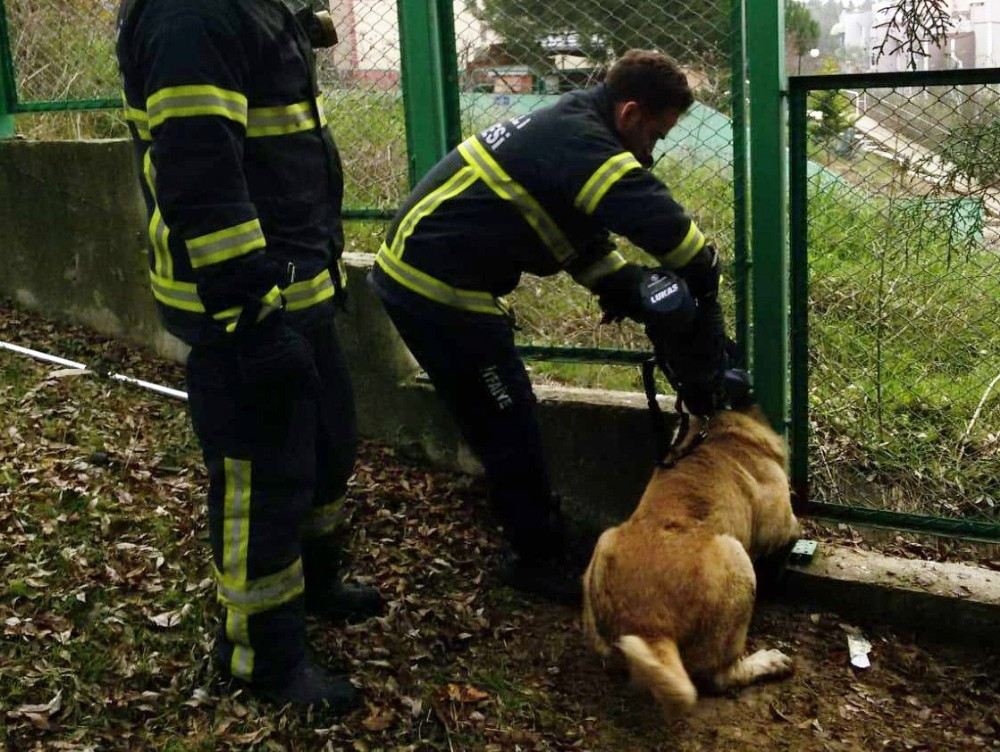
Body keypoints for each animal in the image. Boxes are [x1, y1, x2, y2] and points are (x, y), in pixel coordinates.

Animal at [584, 406, 800, 716]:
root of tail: (649, 627)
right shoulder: (780, 524)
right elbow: (795, 529)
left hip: (604, 544)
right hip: (738, 559)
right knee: (720, 676)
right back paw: (768, 662)